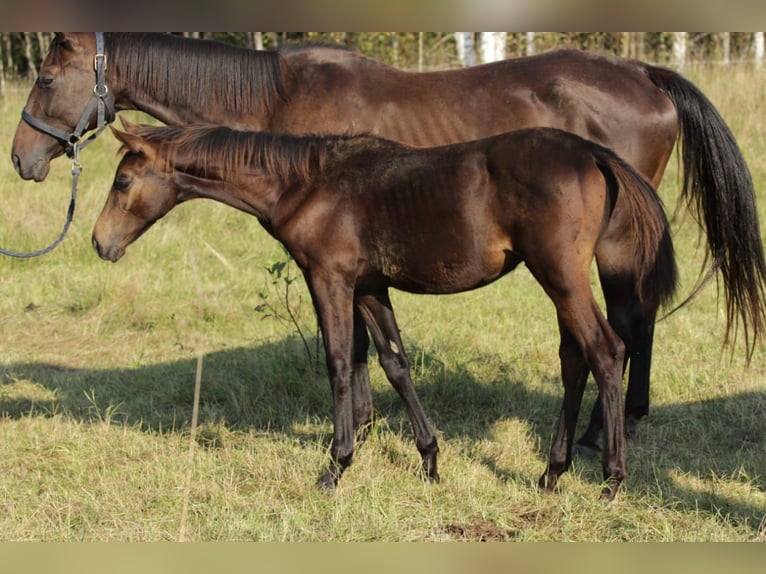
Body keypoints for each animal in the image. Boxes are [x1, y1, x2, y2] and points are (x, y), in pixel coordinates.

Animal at [91, 121, 680, 500]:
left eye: (122, 182)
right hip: (560, 279)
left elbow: (338, 363)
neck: (306, 184)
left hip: (559, 275)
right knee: (575, 358)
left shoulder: (329, 279)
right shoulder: (371, 287)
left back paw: (610, 480)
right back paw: (551, 474)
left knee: (605, 351)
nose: (100, 243)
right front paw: (430, 460)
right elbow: (395, 363)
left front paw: (336, 466)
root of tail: (592, 153)